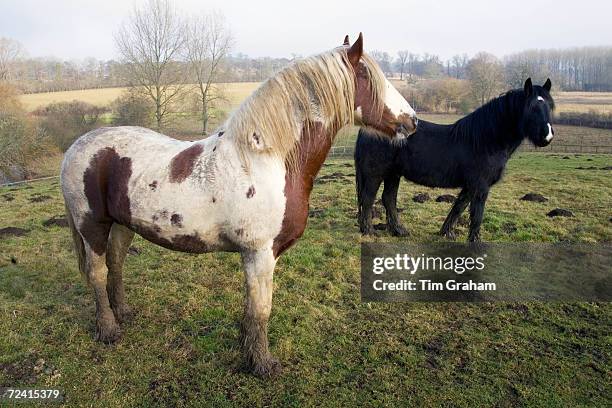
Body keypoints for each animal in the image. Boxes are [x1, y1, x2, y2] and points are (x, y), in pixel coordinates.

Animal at [61, 34, 416, 376]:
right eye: (368, 77)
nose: (412, 121)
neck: (266, 159)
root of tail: (76, 147)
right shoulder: (259, 252)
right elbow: (261, 309)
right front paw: (261, 364)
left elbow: (253, 308)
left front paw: (248, 349)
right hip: (92, 226)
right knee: (97, 272)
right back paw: (108, 330)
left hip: (122, 225)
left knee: (116, 265)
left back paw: (123, 313)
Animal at [356, 78, 556, 241]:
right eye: (532, 107)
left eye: (549, 106)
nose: (547, 136)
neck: (485, 140)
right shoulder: (481, 186)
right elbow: (476, 215)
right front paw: (474, 242)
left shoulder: (470, 185)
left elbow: (459, 207)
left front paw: (447, 232)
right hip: (376, 173)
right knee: (368, 198)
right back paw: (369, 231)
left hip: (393, 174)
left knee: (388, 199)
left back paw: (398, 231)